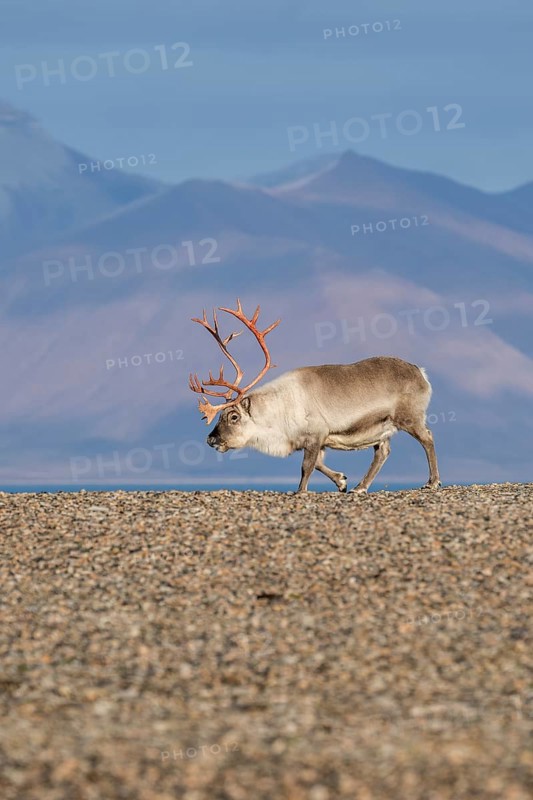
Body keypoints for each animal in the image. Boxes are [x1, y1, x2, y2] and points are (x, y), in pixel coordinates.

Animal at [189, 299, 441, 494]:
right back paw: (360, 487)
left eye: (233, 416)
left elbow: (307, 466)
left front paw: (301, 491)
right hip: (382, 428)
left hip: (409, 417)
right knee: (383, 452)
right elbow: (318, 464)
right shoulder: (318, 440)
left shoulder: (316, 434)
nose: (211, 439)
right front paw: (342, 481)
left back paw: (432, 482)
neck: (276, 413)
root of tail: (421, 372)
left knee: (427, 438)